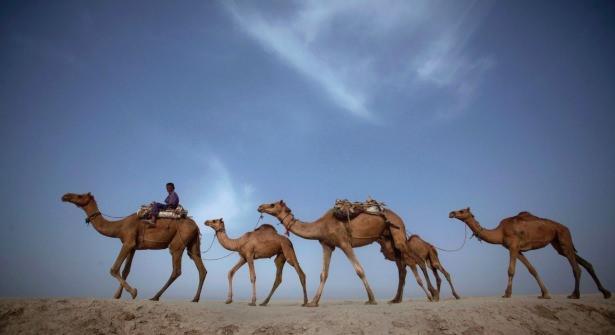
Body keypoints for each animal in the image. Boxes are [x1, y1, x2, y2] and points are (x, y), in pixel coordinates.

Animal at [62, 193, 207, 304]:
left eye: (80, 196)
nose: (65, 196)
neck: (119, 227)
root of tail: (195, 225)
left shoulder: (128, 242)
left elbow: (114, 269)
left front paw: (133, 292)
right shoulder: (133, 247)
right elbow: (126, 271)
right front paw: (117, 295)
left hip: (177, 243)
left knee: (176, 270)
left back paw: (155, 297)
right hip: (192, 244)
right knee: (201, 267)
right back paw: (195, 299)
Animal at [258, 200, 440, 308]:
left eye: (273, 204)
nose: (260, 206)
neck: (321, 225)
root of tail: (399, 218)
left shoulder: (344, 243)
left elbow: (359, 270)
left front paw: (371, 299)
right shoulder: (327, 245)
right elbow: (324, 274)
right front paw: (313, 302)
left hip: (398, 232)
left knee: (416, 261)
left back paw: (433, 294)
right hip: (388, 242)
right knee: (402, 267)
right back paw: (396, 299)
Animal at [448, 207, 612, 300]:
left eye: (462, 210)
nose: (451, 213)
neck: (500, 232)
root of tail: (566, 228)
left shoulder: (513, 246)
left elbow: (511, 270)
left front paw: (507, 293)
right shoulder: (518, 250)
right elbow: (532, 270)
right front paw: (545, 294)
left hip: (564, 237)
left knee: (575, 267)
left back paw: (575, 295)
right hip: (557, 244)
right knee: (585, 263)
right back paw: (605, 292)